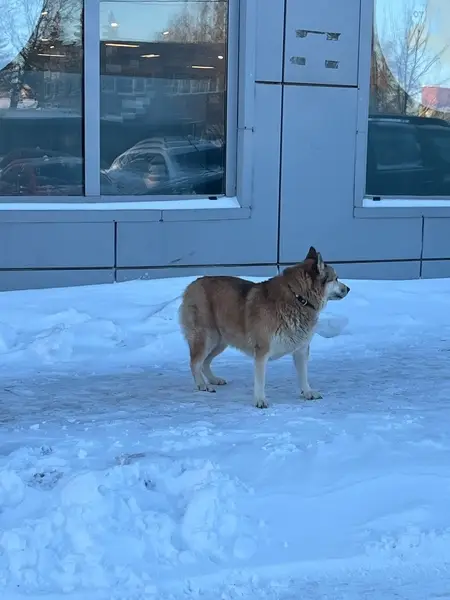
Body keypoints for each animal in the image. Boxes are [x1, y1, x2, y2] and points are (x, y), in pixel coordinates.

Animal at [179, 247, 350, 408]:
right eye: (335, 278)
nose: (348, 288)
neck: (298, 298)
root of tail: (192, 284)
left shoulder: (301, 350)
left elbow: (303, 375)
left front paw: (307, 392)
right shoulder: (262, 351)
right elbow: (260, 380)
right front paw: (260, 400)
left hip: (221, 342)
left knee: (205, 362)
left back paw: (214, 379)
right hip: (207, 338)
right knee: (195, 363)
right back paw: (202, 385)